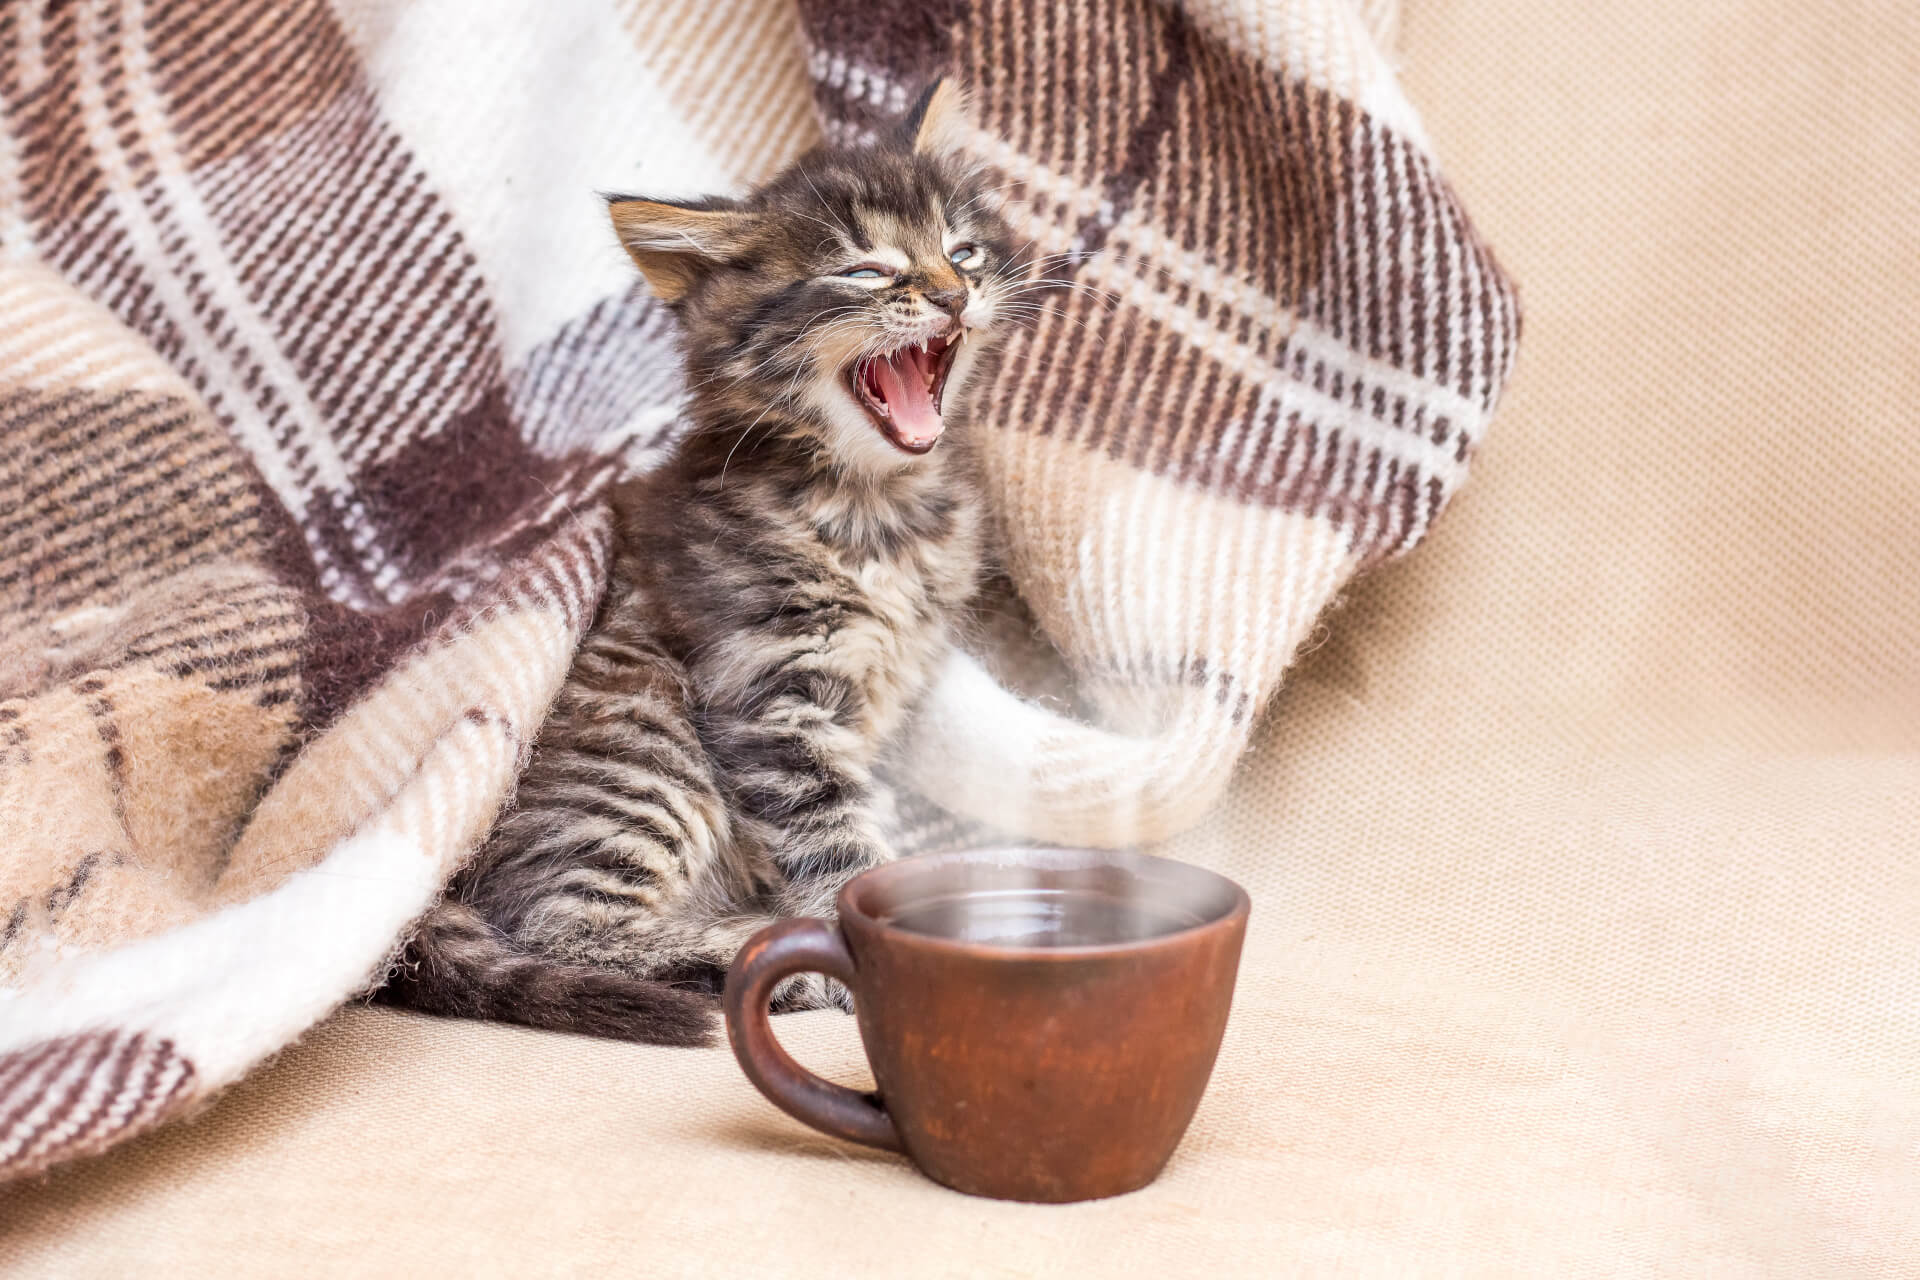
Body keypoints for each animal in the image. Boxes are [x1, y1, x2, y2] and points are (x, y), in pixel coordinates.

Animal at [382, 80, 1029, 1043]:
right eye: (866, 271)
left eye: (963, 251)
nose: (955, 295)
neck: (874, 507)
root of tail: (426, 901)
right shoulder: (769, 693)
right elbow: (833, 838)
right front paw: (865, 957)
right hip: (640, 754)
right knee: (554, 923)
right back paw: (759, 957)